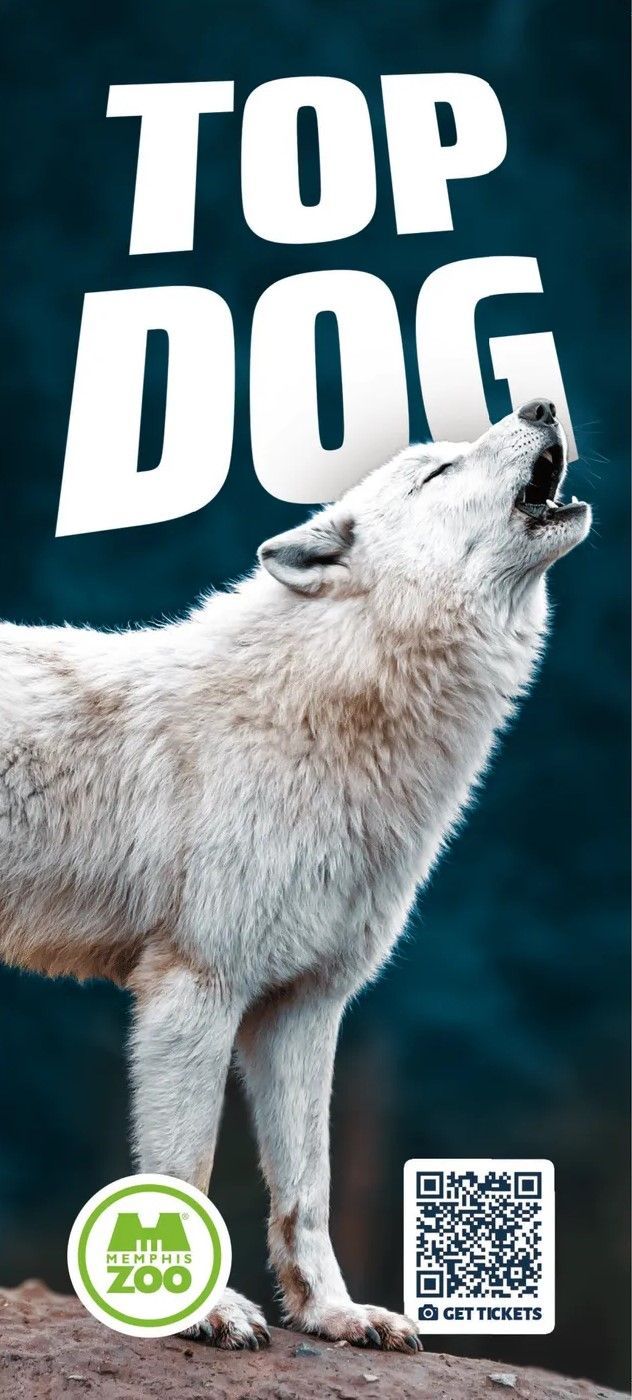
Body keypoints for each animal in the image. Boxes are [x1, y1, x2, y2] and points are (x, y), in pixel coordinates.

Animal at [0, 400, 590, 1351]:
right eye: (436, 471)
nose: (540, 404)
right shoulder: (195, 989)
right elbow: (187, 1169)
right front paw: (205, 1313)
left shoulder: (304, 1007)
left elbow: (305, 1190)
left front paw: (334, 1315)